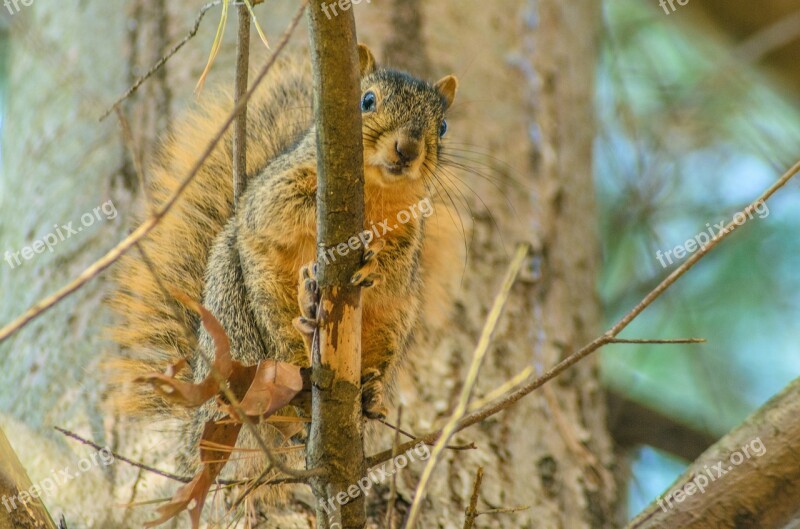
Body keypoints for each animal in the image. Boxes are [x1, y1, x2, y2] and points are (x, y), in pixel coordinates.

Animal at [109, 45, 466, 482]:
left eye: (443, 126)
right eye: (366, 101)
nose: (408, 149)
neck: (373, 194)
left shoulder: (411, 232)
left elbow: (396, 267)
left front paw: (375, 264)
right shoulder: (273, 192)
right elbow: (281, 209)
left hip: (393, 324)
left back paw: (369, 391)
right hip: (243, 315)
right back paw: (305, 327)